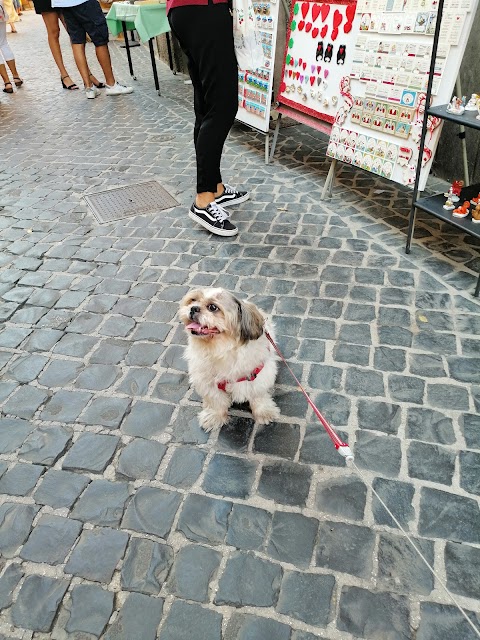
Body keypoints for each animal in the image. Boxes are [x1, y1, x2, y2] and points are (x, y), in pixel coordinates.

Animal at [178, 288, 280, 430]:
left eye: (213, 307)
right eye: (193, 300)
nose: (193, 308)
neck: (221, 350)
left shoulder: (259, 377)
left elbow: (259, 396)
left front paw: (264, 412)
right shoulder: (207, 382)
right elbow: (216, 401)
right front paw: (214, 416)